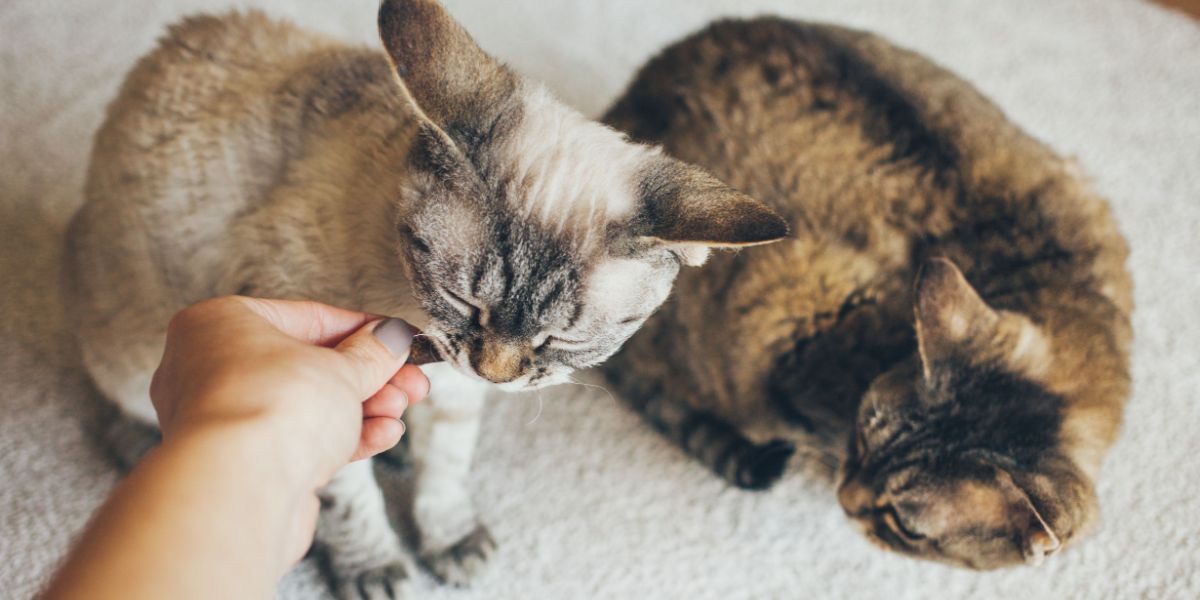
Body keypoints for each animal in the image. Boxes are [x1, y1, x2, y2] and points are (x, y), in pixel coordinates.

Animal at [63, 2, 787, 597]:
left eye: (561, 339)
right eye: (465, 302)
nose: (495, 372)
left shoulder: (456, 392)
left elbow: (445, 473)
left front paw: (450, 539)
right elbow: (349, 499)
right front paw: (374, 567)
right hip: (129, 347)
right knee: (123, 407)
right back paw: (145, 445)